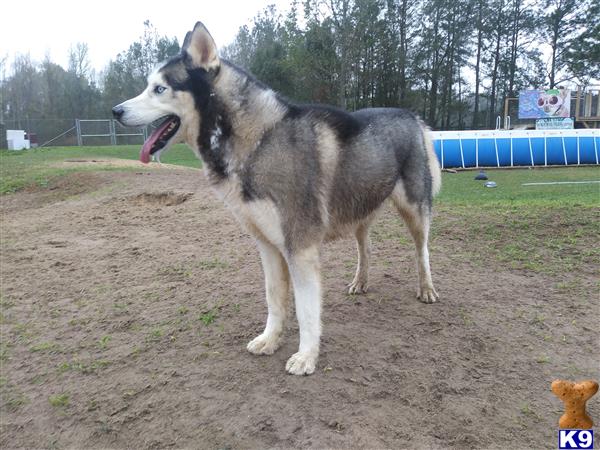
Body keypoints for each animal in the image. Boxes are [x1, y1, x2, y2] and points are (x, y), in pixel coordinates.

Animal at [112, 21, 440, 374]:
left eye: (159, 88)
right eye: (148, 86)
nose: (115, 110)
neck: (258, 142)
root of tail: (412, 116)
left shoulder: (300, 247)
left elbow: (307, 310)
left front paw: (306, 356)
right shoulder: (267, 245)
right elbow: (274, 298)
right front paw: (271, 339)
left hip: (414, 211)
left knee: (422, 252)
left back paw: (426, 288)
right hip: (360, 209)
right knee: (365, 247)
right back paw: (360, 282)